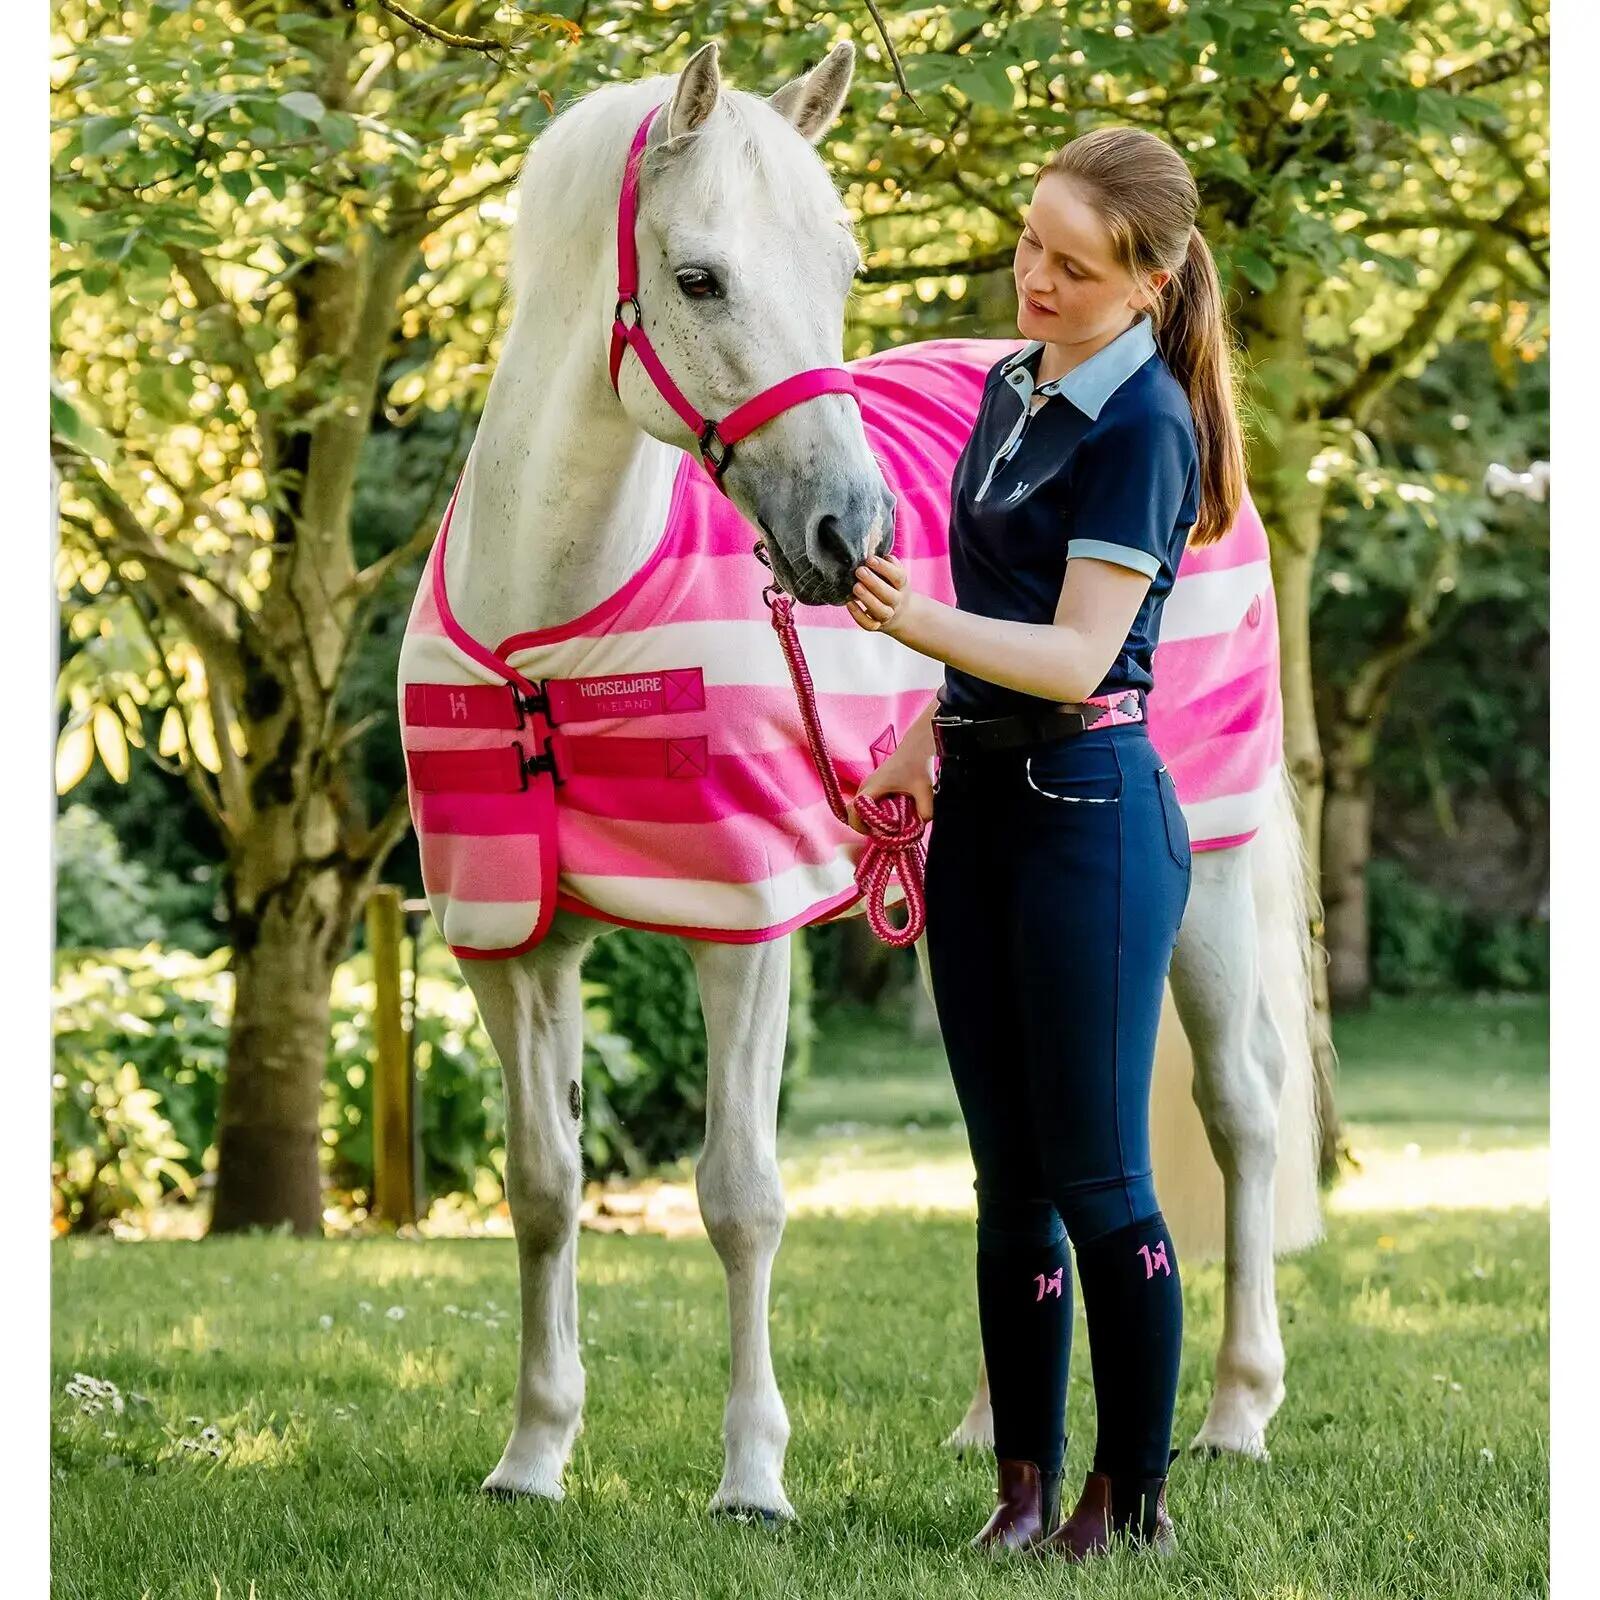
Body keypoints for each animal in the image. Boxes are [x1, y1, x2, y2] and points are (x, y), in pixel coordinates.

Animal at [396, 40, 1322, 1522]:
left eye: (839, 266)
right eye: (699, 277)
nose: (852, 532)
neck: (555, 627)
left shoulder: (743, 927)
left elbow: (740, 1195)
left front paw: (751, 1477)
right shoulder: (509, 943)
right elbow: (540, 1187)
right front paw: (533, 1454)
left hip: (1215, 878)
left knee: (1239, 1108)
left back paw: (1238, 1410)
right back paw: (993, 1420)